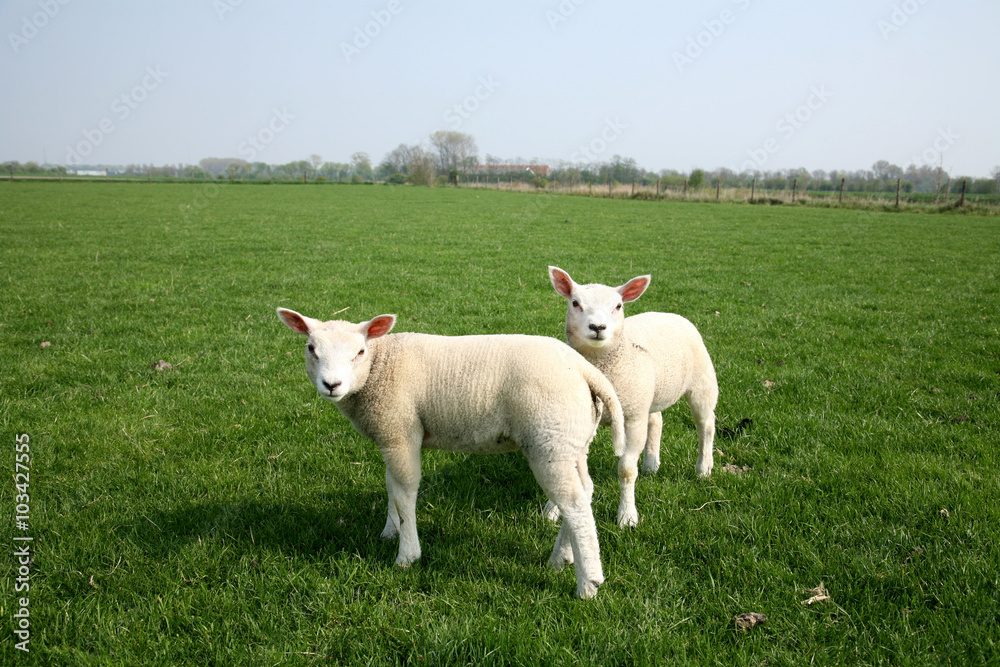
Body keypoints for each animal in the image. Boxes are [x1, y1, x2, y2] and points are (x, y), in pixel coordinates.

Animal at [276, 307, 626, 599]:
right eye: (311, 349)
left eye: (359, 352)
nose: (331, 384)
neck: (379, 365)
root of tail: (585, 370)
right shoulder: (391, 436)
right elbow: (390, 485)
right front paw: (390, 530)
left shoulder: (400, 430)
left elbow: (404, 491)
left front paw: (407, 554)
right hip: (572, 439)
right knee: (585, 492)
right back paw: (561, 558)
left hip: (549, 439)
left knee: (574, 505)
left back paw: (588, 583)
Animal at [546, 266, 718, 528]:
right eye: (575, 303)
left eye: (618, 306)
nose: (598, 327)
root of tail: (667, 312)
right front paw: (552, 510)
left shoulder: (634, 417)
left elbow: (626, 469)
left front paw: (627, 516)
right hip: (649, 393)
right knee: (656, 419)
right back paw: (651, 464)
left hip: (702, 382)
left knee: (706, 424)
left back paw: (703, 469)